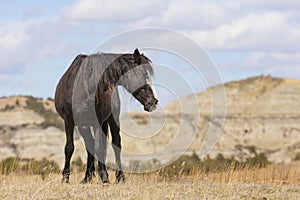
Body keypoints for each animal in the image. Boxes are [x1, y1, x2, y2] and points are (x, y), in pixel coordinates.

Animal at [54, 49, 157, 184]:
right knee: (90, 145)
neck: (84, 87)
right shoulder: (69, 121)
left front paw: (104, 177)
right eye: (144, 75)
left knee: (115, 144)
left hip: (111, 120)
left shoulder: (96, 121)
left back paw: (120, 177)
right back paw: (87, 178)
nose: (153, 102)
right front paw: (65, 178)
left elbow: (99, 147)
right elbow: (69, 147)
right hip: (84, 126)